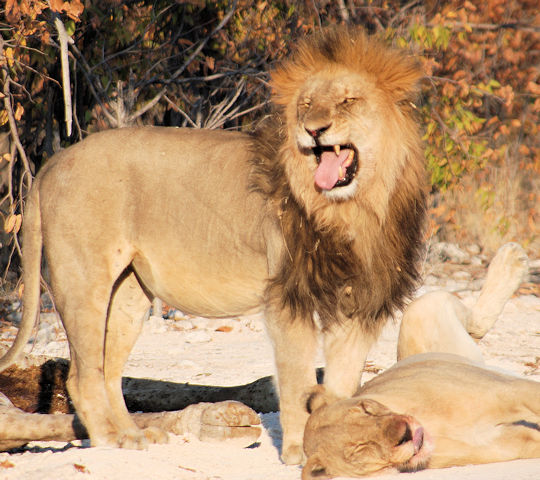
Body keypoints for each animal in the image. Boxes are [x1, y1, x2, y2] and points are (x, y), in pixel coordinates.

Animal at [0, 26, 426, 462]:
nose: (312, 129)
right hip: (83, 280)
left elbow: (340, 386)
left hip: (129, 293)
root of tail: (52, 163)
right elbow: (297, 382)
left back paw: (136, 434)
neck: (351, 209)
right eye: (306, 104)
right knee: (81, 376)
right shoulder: (287, 298)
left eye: (347, 100)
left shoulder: (361, 303)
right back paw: (111, 441)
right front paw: (297, 452)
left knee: (108, 372)